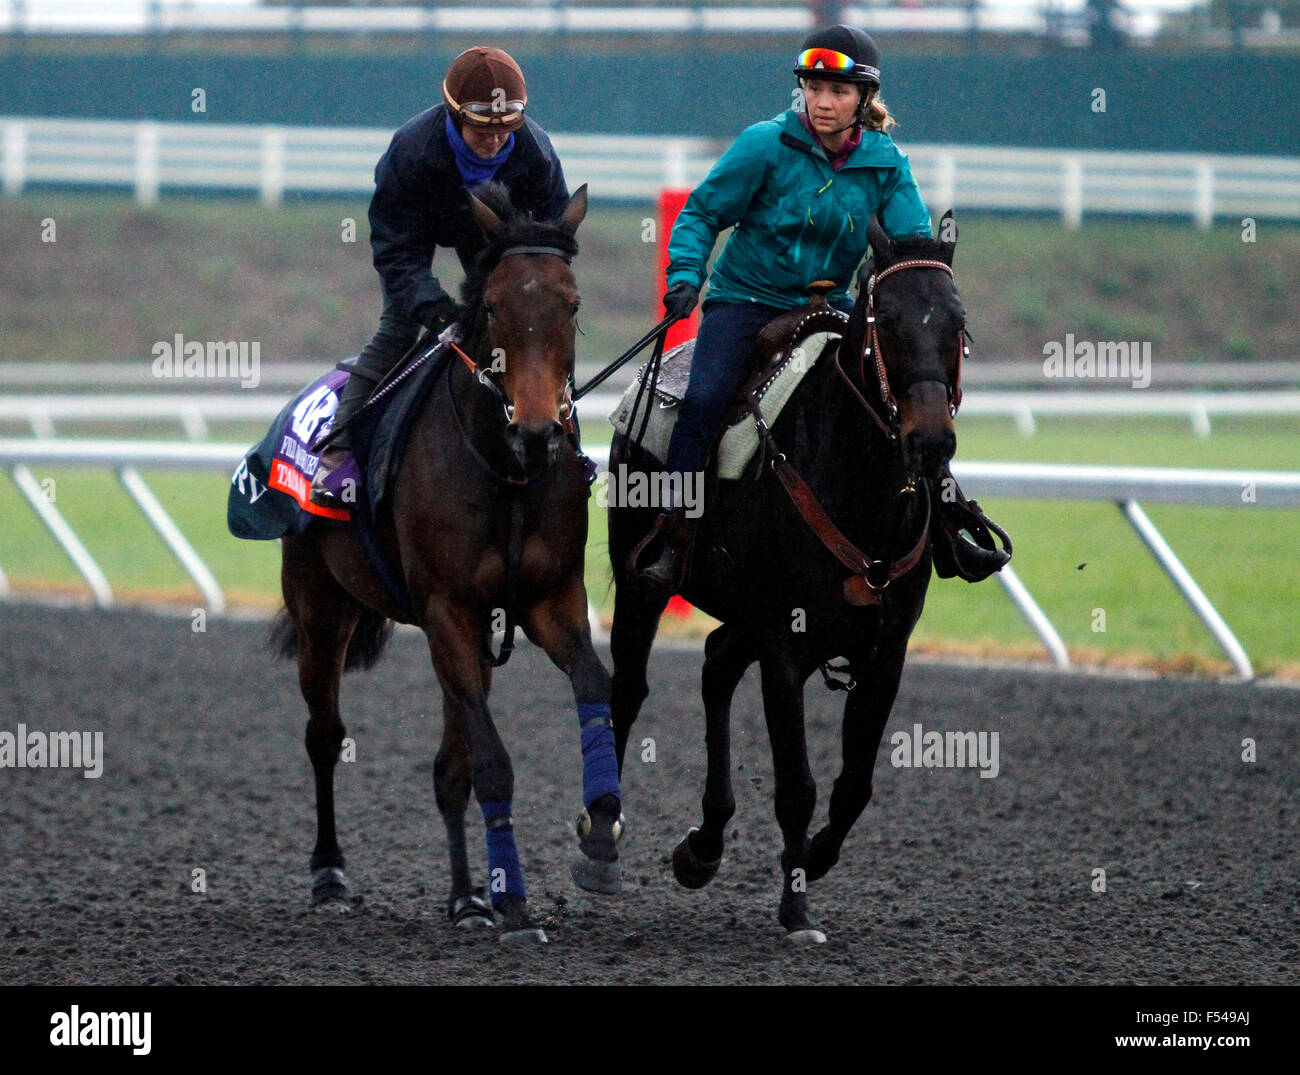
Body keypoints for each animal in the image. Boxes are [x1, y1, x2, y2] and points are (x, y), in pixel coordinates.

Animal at [271, 184, 621, 941]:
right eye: (492, 305)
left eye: (573, 303)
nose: (539, 431)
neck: (506, 472)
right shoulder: (446, 611)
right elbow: (491, 762)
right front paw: (515, 904)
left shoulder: (548, 599)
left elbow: (593, 686)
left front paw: (601, 833)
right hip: (321, 607)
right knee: (324, 735)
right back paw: (331, 874)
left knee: (446, 767)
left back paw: (467, 898)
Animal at [608, 210, 967, 941]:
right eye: (886, 319)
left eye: (957, 322)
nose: (930, 441)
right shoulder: (784, 643)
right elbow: (797, 784)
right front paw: (797, 908)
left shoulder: (886, 650)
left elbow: (854, 784)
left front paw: (816, 862)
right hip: (638, 581)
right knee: (626, 691)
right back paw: (599, 841)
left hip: (742, 613)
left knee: (716, 663)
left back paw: (703, 845)